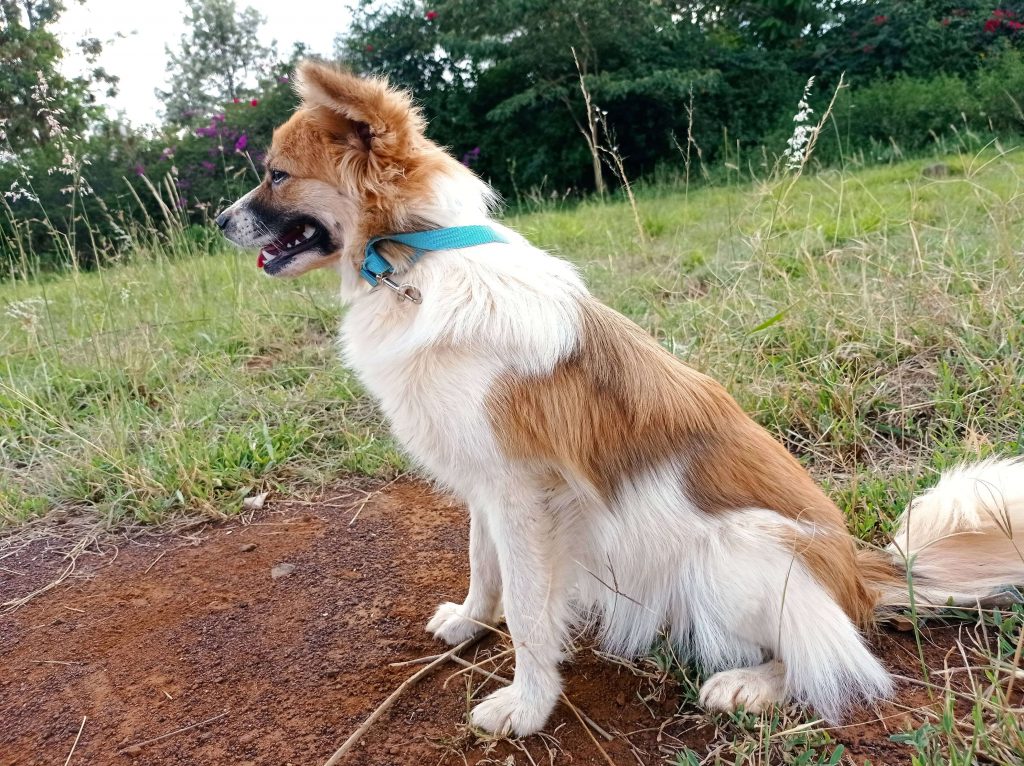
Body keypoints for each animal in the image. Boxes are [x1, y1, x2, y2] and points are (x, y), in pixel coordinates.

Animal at [218, 61, 1024, 737]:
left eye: (278, 176)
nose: (219, 222)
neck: (418, 260)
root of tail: (863, 570)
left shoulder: (525, 497)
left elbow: (530, 612)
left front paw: (526, 707)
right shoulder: (485, 484)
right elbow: (483, 565)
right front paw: (471, 623)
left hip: (734, 554)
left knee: (835, 652)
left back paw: (749, 685)